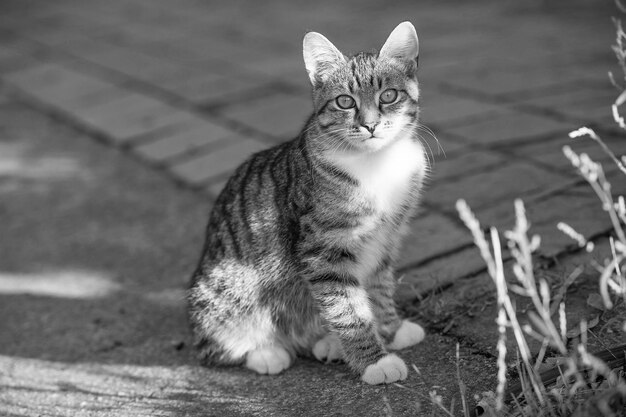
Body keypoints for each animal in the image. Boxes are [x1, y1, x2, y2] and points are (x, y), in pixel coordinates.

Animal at [188, 20, 426, 384]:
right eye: (344, 102)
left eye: (389, 96)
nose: (369, 125)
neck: (376, 162)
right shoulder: (323, 250)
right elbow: (348, 309)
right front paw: (374, 361)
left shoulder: (386, 239)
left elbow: (379, 286)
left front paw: (392, 328)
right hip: (227, 288)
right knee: (215, 344)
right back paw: (267, 353)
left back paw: (326, 343)